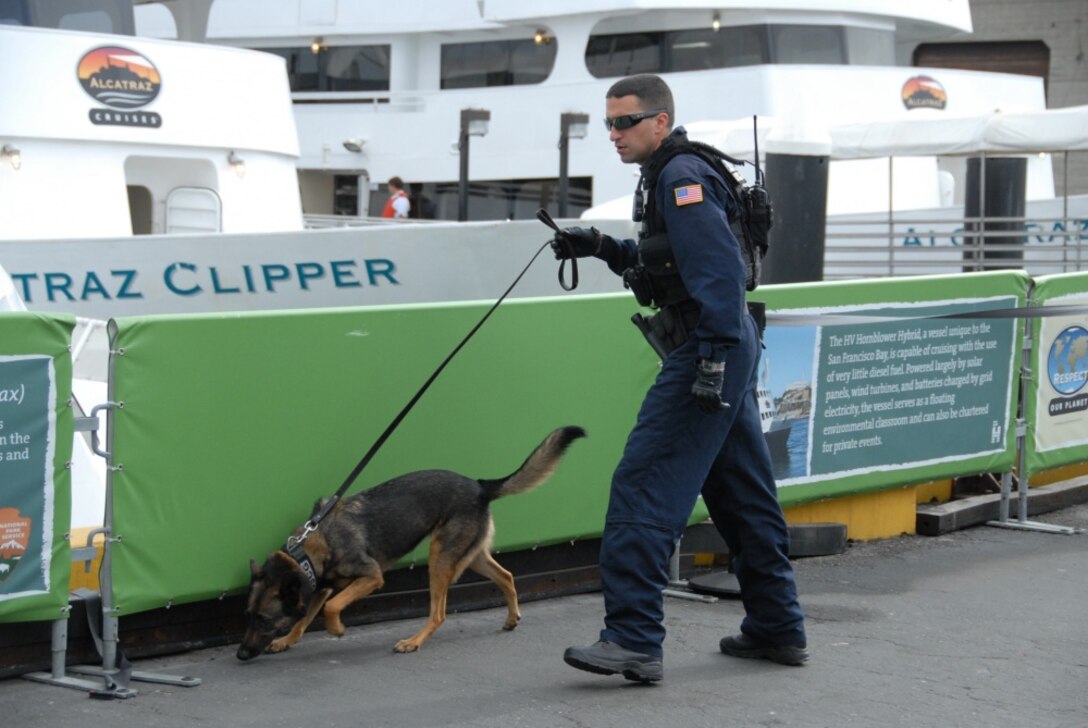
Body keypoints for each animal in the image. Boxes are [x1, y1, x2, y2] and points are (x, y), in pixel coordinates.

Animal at [233, 426, 583, 657]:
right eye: (247, 616)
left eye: (264, 619)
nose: (240, 654)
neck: (309, 549)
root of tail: (480, 486)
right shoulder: (321, 586)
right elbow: (306, 615)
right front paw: (288, 639)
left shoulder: (371, 577)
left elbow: (331, 607)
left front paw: (336, 629)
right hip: (469, 555)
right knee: (507, 576)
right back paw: (511, 618)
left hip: (439, 558)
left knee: (439, 613)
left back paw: (414, 641)